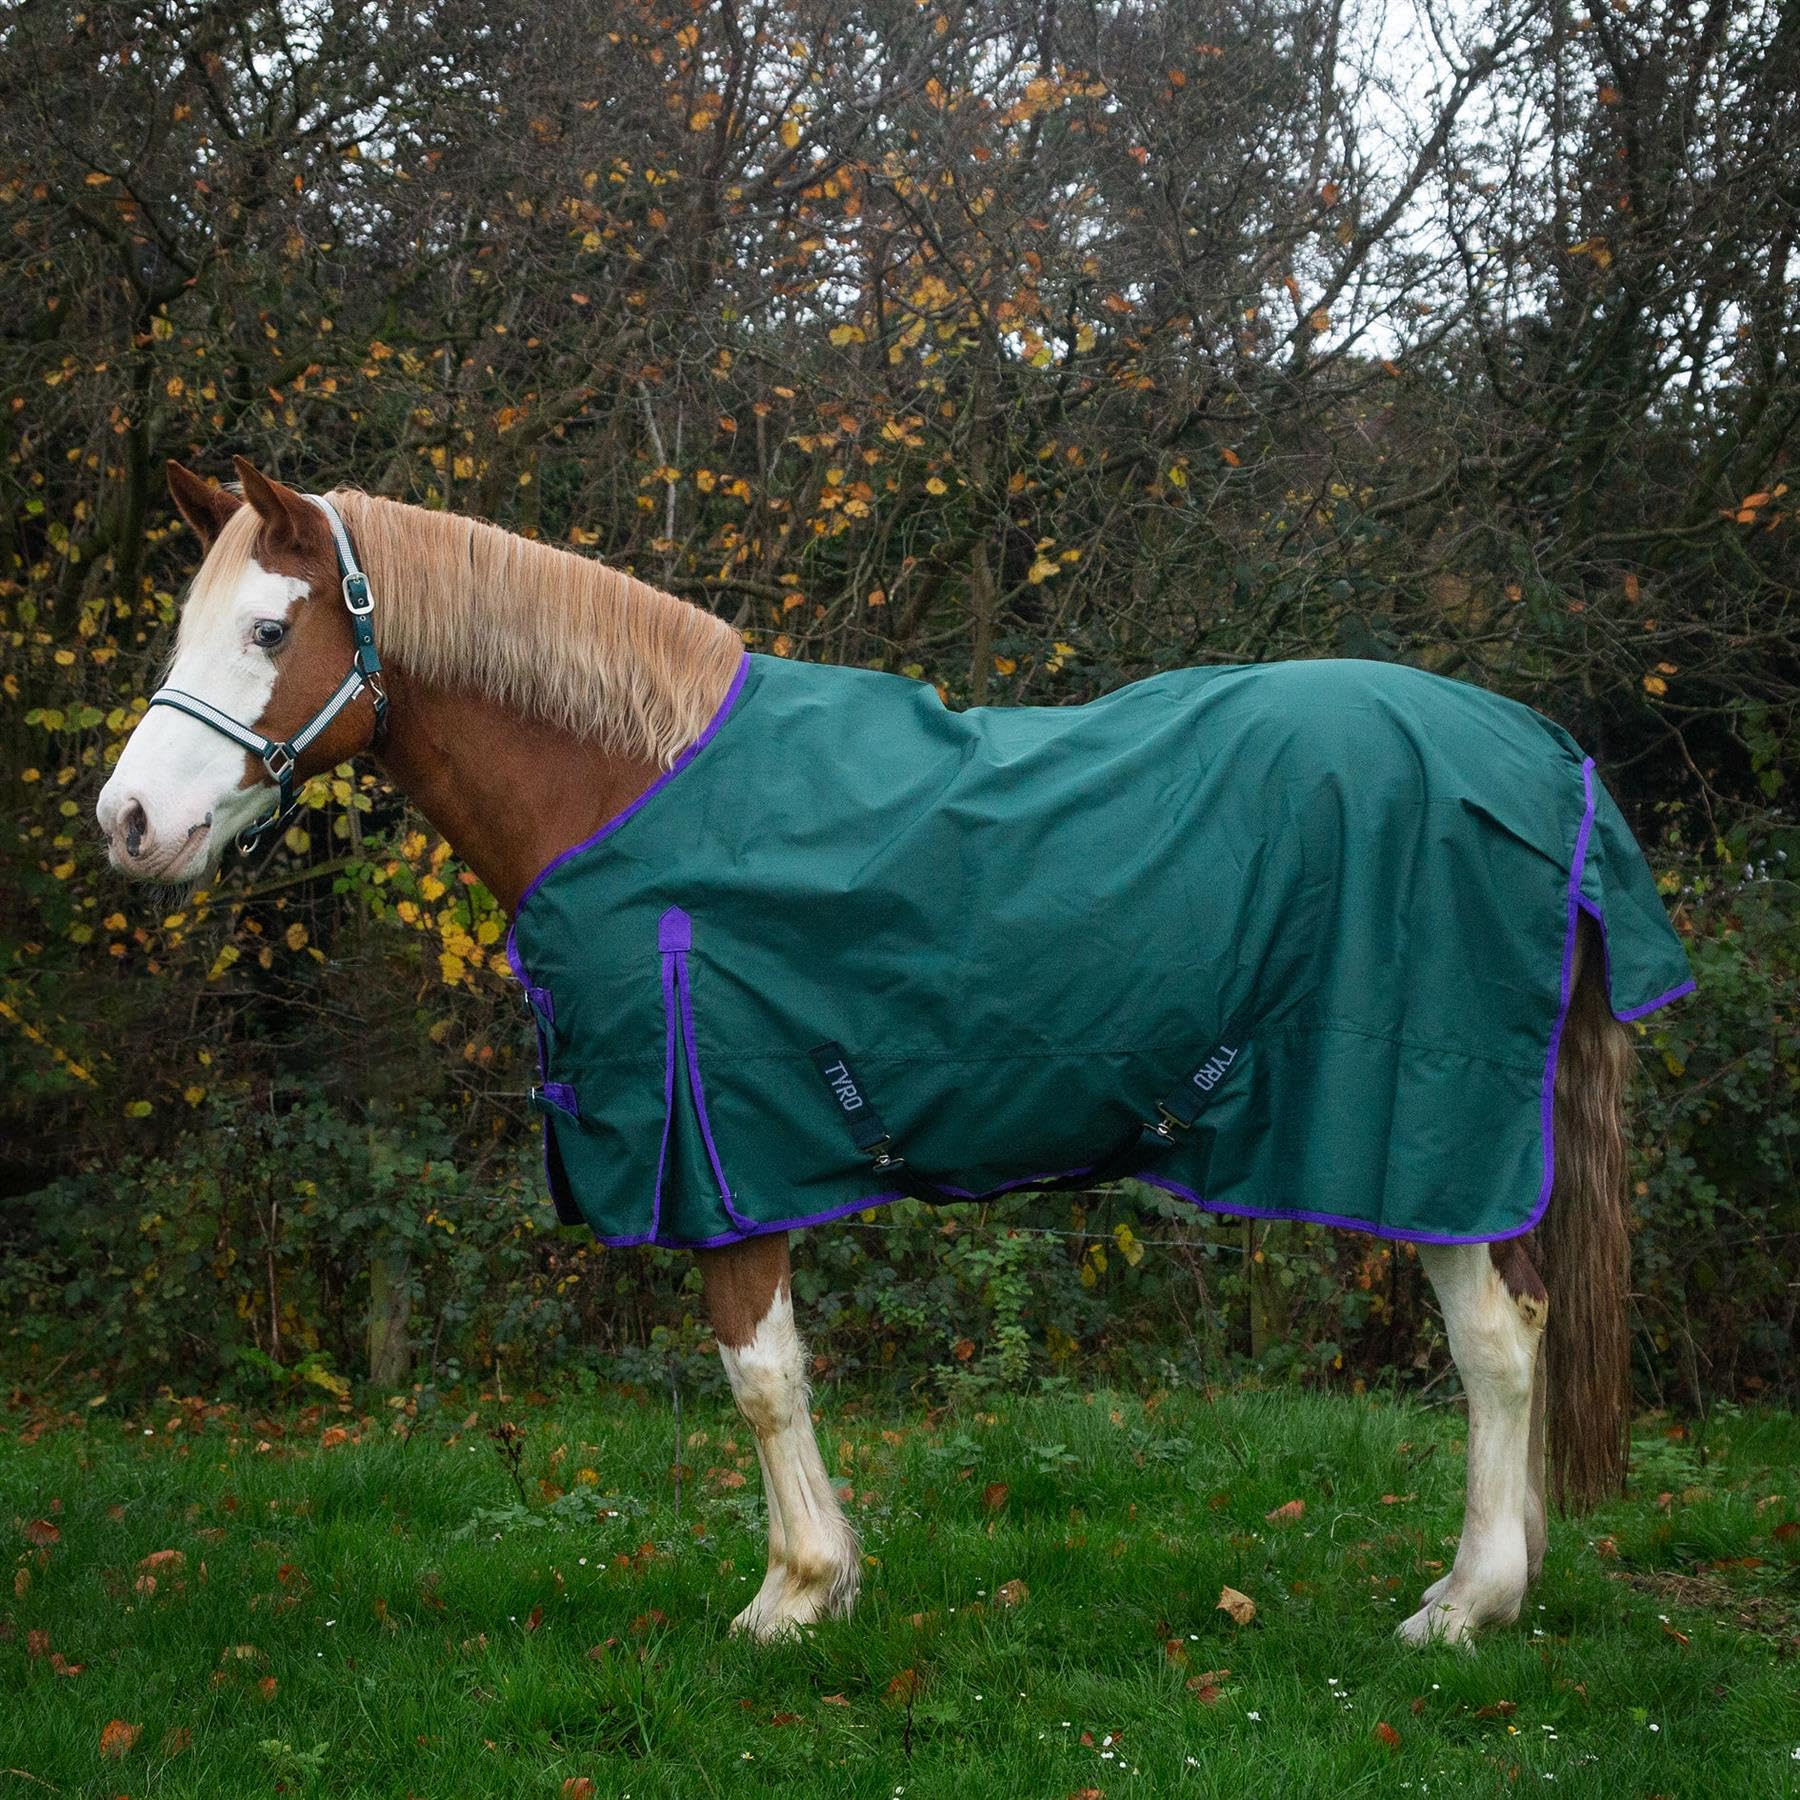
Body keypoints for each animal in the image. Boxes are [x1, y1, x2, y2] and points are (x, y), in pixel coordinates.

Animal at [96, 456, 1692, 1646]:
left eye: (268, 631)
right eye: (189, 625)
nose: (127, 824)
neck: (634, 785)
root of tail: (1542, 756)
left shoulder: (718, 1144)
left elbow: (758, 1372)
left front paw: (794, 1597)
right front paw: (827, 1583)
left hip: (1424, 1137)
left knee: (1498, 1341)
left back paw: (1465, 1604)